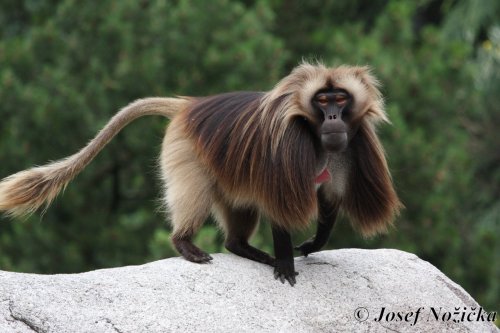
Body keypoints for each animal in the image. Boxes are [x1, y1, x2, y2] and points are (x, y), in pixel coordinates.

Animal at [0, 61, 398, 286]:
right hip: (187, 150)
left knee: (237, 218)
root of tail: (190, 104)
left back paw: (243, 248)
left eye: (341, 99)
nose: (332, 118)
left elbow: (329, 202)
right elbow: (279, 206)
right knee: (196, 195)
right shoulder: (288, 149)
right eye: (322, 100)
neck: (315, 135)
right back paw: (186, 244)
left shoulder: (348, 149)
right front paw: (286, 262)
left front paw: (313, 245)